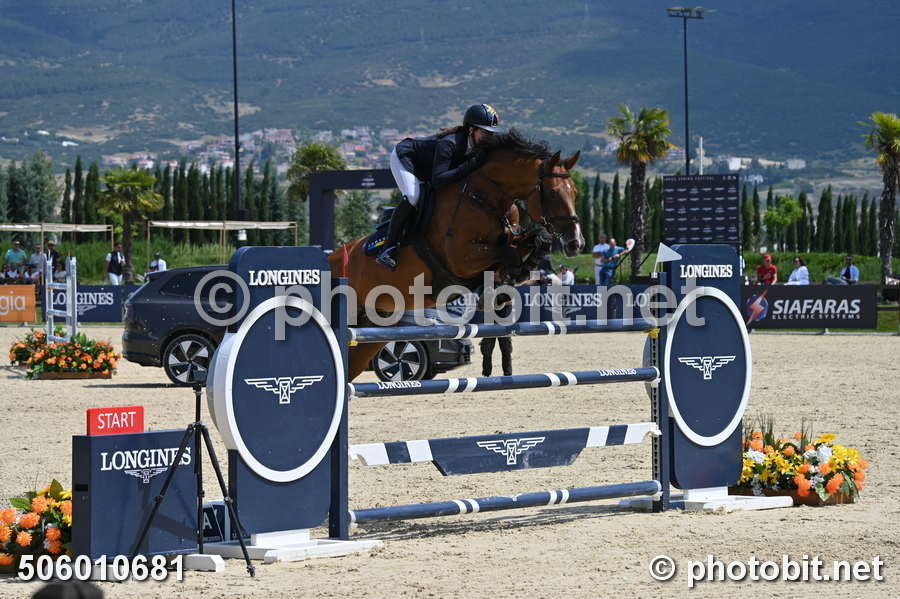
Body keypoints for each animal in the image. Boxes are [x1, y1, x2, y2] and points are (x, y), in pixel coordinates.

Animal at [328, 130, 583, 379]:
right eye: (553, 193)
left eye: (575, 193)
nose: (576, 243)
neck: (484, 198)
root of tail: (334, 258)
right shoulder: (461, 258)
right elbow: (507, 253)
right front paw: (506, 279)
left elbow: (531, 242)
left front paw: (516, 273)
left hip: (376, 322)